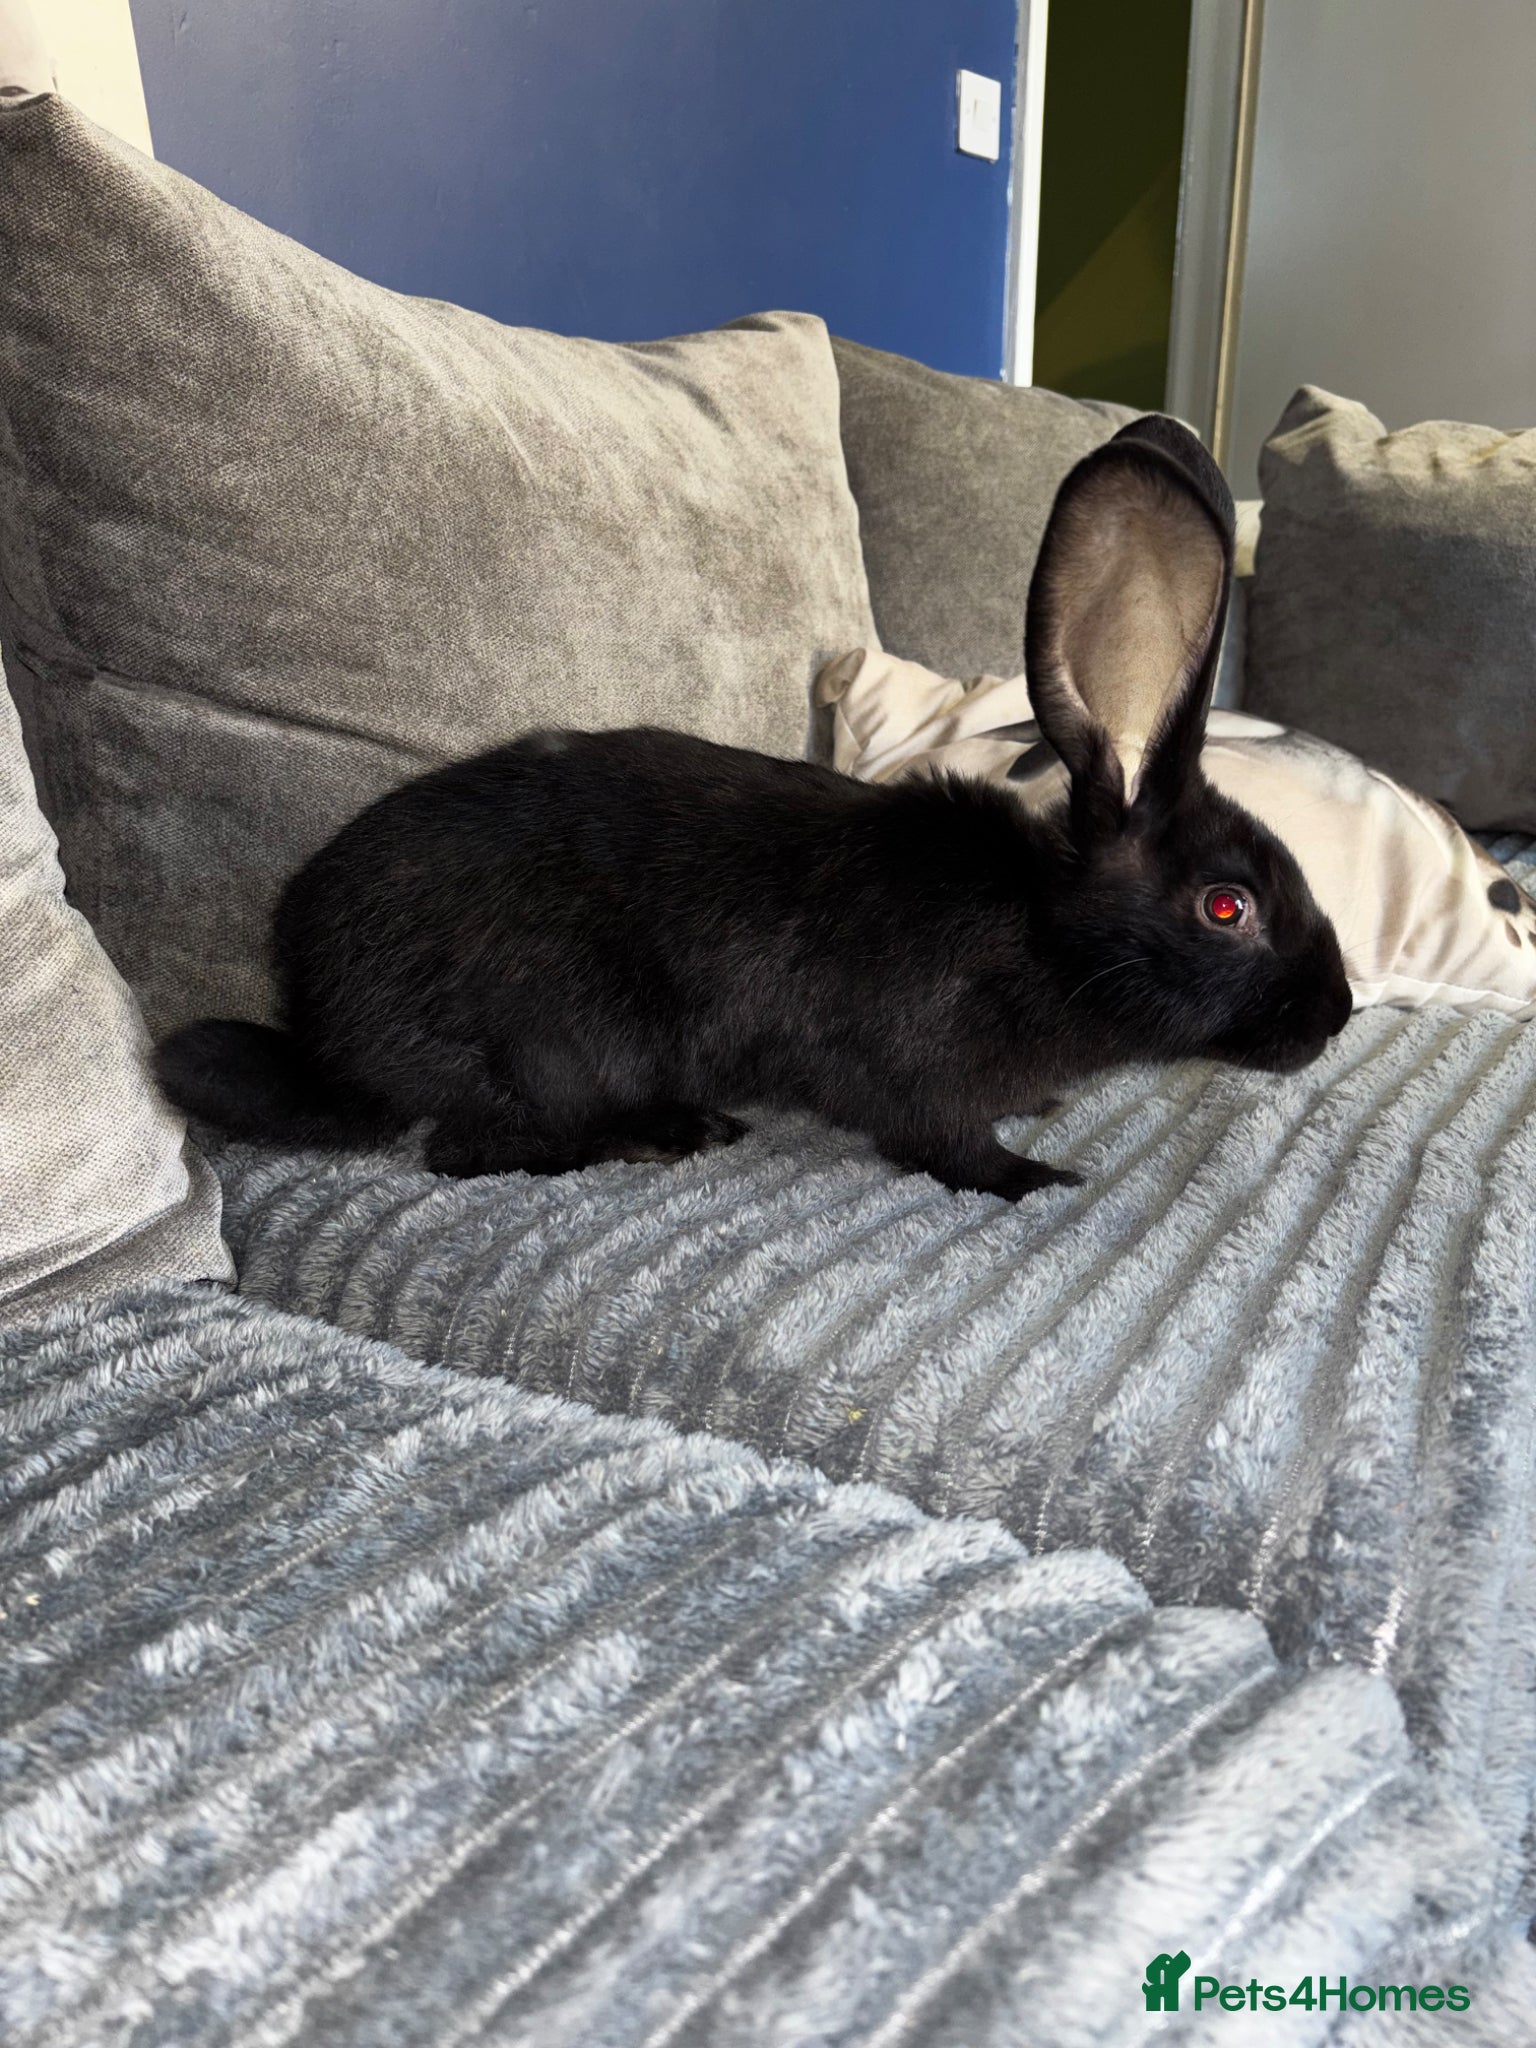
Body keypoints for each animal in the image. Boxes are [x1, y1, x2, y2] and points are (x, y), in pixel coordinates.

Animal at [155, 415, 1353, 1201]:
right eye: (1229, 908)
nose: (1335, 1015)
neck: (1046, 933)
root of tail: (329, 1032)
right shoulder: (915, 1069)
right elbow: (944, 1145)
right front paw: (1037, 1175)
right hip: (557, 1043)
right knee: (472, 1151)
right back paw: (668, 1134)